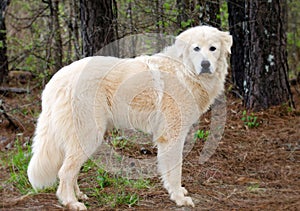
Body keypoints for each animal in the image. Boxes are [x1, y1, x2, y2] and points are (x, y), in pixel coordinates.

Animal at [27, 26, 232, 209]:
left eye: (212, 48)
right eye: (196, 48)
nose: (205, 65)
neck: (184, 70)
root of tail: (56, 80)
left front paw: (178, 193)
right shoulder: (172, 136)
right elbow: (175, 172)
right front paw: (179, 199)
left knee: (71, 170)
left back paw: (79, 195)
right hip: (89, 136)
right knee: (65, 171)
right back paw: (71, 202)